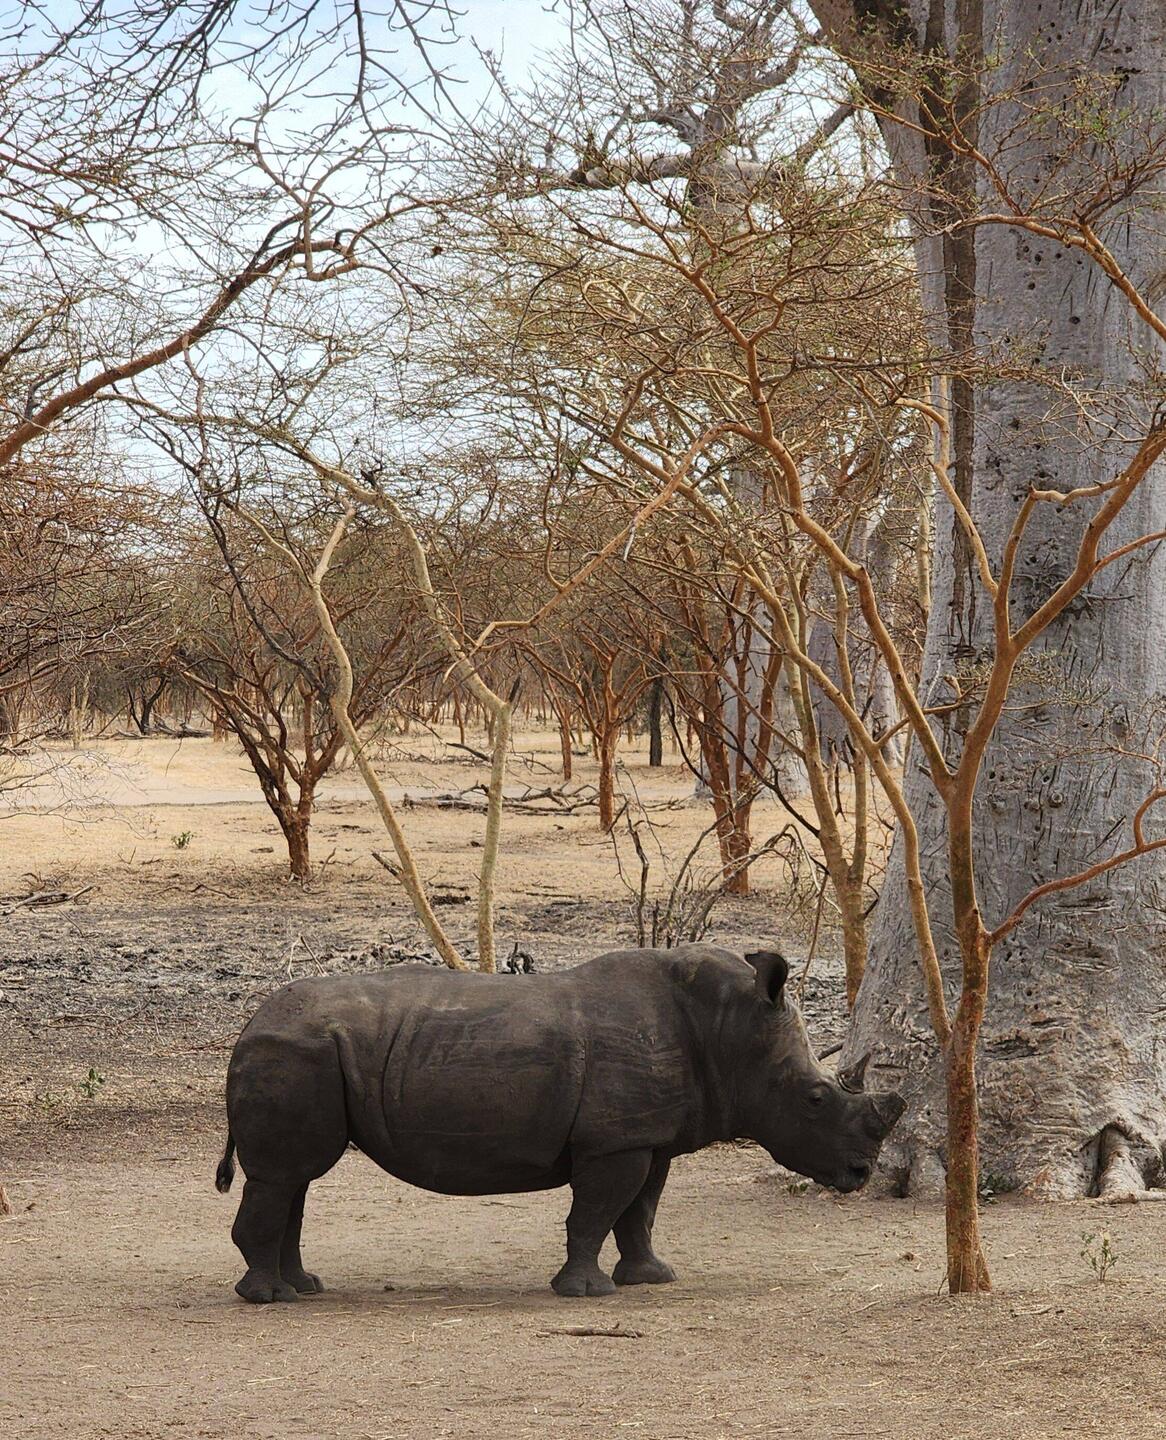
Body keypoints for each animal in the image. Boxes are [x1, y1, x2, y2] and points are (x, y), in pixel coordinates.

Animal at [215, 944, 905, 1302]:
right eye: (815, 1099)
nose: (861, 1173)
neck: (729, 1029)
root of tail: (248, 1025)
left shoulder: (647, 1137)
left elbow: (638, 1212)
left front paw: (651, 1279)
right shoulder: (613, 1142)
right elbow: (596, 1212)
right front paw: (586, 1293)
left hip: (306, 1051)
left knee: (294, 1179)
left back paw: (304, 1287)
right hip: (295, 1050)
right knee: (285, 1176)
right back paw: (268, 1298)